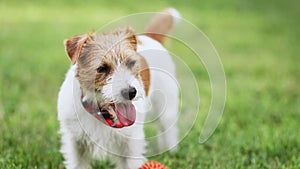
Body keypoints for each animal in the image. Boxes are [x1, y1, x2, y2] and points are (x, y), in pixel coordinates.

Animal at [58, 8, 180, 169]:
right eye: (102, 68)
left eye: (131, 63)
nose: (131, 92)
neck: (102, 113)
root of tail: (149, 37)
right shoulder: (76, 143)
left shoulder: (131, 145)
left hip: (166, 108)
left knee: (168, 130)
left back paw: (171, 151)